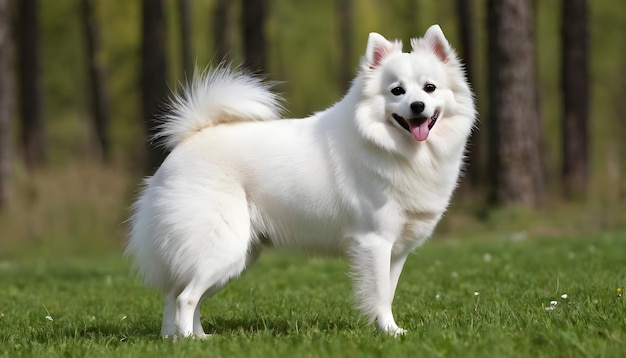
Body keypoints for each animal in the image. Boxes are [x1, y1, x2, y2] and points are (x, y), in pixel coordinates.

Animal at [129, 23, 476, 338]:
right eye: (397, 91)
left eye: (429, 88)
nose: (417, 106)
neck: (398, 149)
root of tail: (187, 140)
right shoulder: (375, 241)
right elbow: (379, 295)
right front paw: (390, 332)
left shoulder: (396, 250)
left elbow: (387, 292)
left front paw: (387, 328)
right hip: (222, 248)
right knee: (186, 297)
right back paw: (190, 340)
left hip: (237, 256)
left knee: (176, 294)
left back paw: (184, 337)